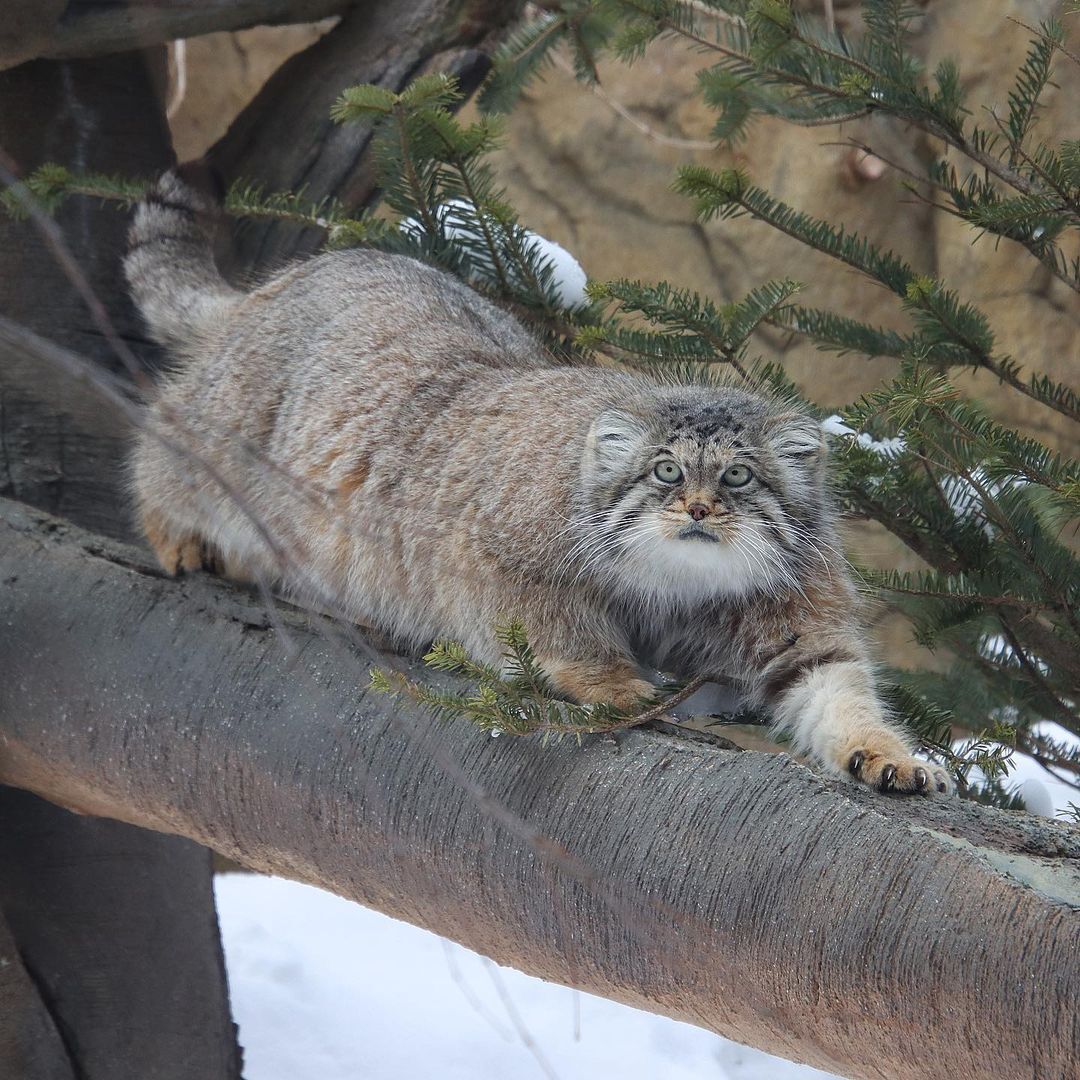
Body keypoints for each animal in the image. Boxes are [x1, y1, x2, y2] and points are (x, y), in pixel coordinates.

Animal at [128, 172, 954, 799]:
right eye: (665, 470)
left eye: (739, 475)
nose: (698, 507)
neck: (675, 584)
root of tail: (292, 278)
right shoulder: (496, 563)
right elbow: (561, 632)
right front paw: (614, 683)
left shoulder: (799, 617)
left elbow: (838, 690)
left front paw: (890, 755)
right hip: (219, 443)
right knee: (159, 441)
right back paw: (177, 533)